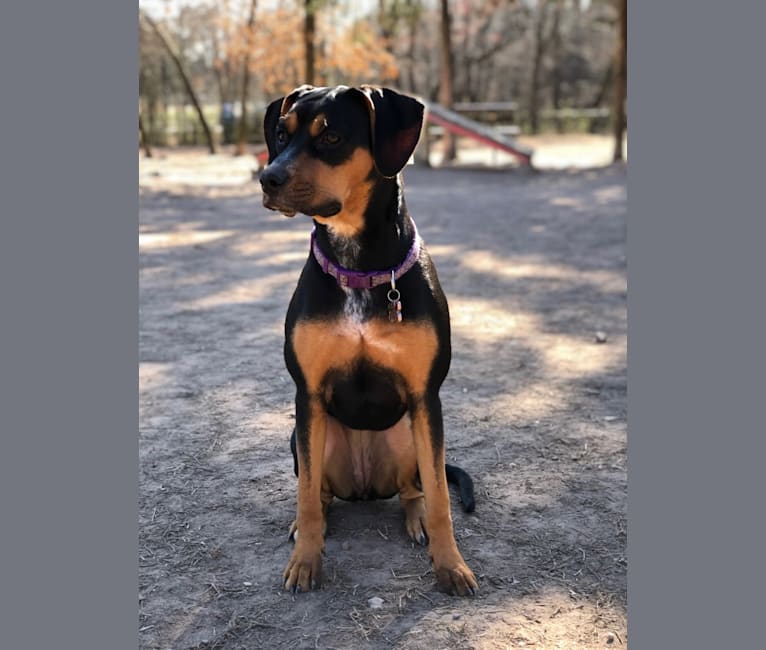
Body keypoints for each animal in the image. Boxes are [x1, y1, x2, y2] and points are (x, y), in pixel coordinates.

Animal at [264, 83, 480, 596]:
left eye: (332, 137)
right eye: (280, 133)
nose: (267, 178)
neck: (358, 265)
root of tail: (363, 490)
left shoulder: (426, 398)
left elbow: (441, 498)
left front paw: (451, 564)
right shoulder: (308, 396)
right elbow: (305, 496)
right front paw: (306, 561)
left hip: (407, 438)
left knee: (415, 489)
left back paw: (416, 519)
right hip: (304, 439)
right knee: (318, 494)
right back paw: (308, 525)